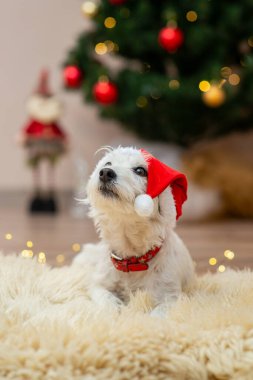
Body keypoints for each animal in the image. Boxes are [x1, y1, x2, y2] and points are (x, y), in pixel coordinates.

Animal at [74, 147, 195, 316]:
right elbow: (105, 297)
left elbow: (159, 313)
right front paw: (113, 310)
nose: (105, 172)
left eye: (140, 170)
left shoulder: (170, 296)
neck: (132, 260)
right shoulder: (99, 285)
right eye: (108, 163)